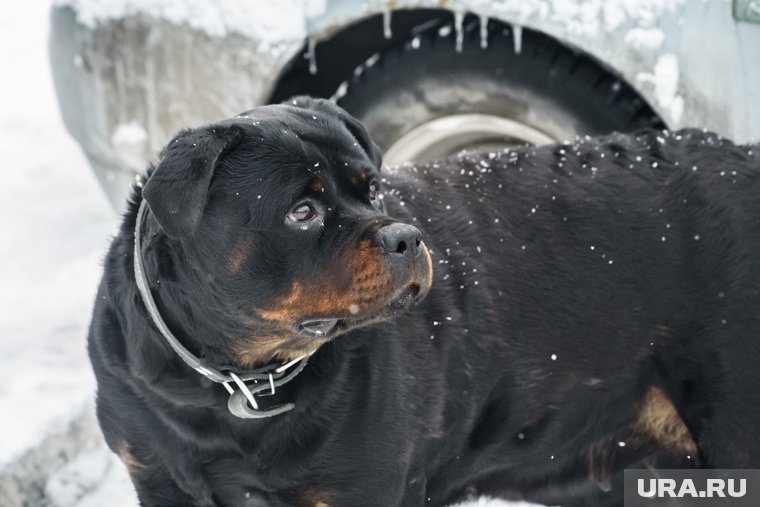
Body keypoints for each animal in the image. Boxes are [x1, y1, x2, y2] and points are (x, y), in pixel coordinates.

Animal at [89, 96, 760, 507]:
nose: (405, 237)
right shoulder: (157, 476)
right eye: (301, 211)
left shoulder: (364, 490)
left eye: (372, 188)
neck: (230, 382)